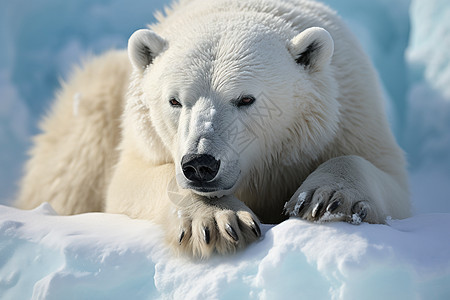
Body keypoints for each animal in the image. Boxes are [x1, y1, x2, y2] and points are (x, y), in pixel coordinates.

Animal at [14, 0, 412, 258]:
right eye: (175, 101)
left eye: (246, 98)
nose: (200, 164)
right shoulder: (142, 138)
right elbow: (129, 185)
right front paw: (219, 221)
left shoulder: (349, 116)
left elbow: (388, 179)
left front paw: (326, 198)